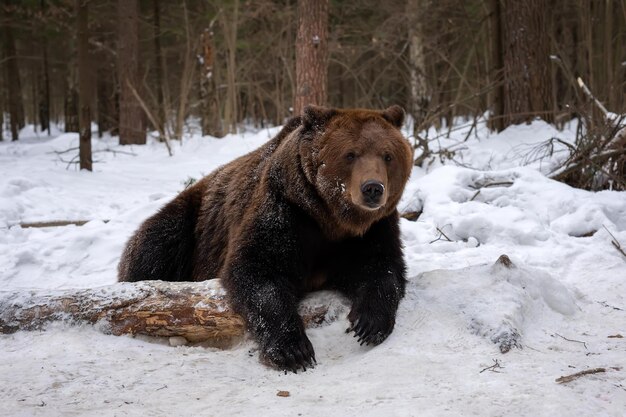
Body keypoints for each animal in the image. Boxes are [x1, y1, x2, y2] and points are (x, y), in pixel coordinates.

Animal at [118, 105, 414, 372]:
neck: (331, 219)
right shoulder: (286, 211)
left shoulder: (370, 231)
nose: (373, 188)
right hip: (192, 223)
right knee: (155, 245)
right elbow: (258, 271)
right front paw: (293, 349)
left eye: (388, 155)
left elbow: (381, 267)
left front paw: (369, 323)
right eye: (350, 154)